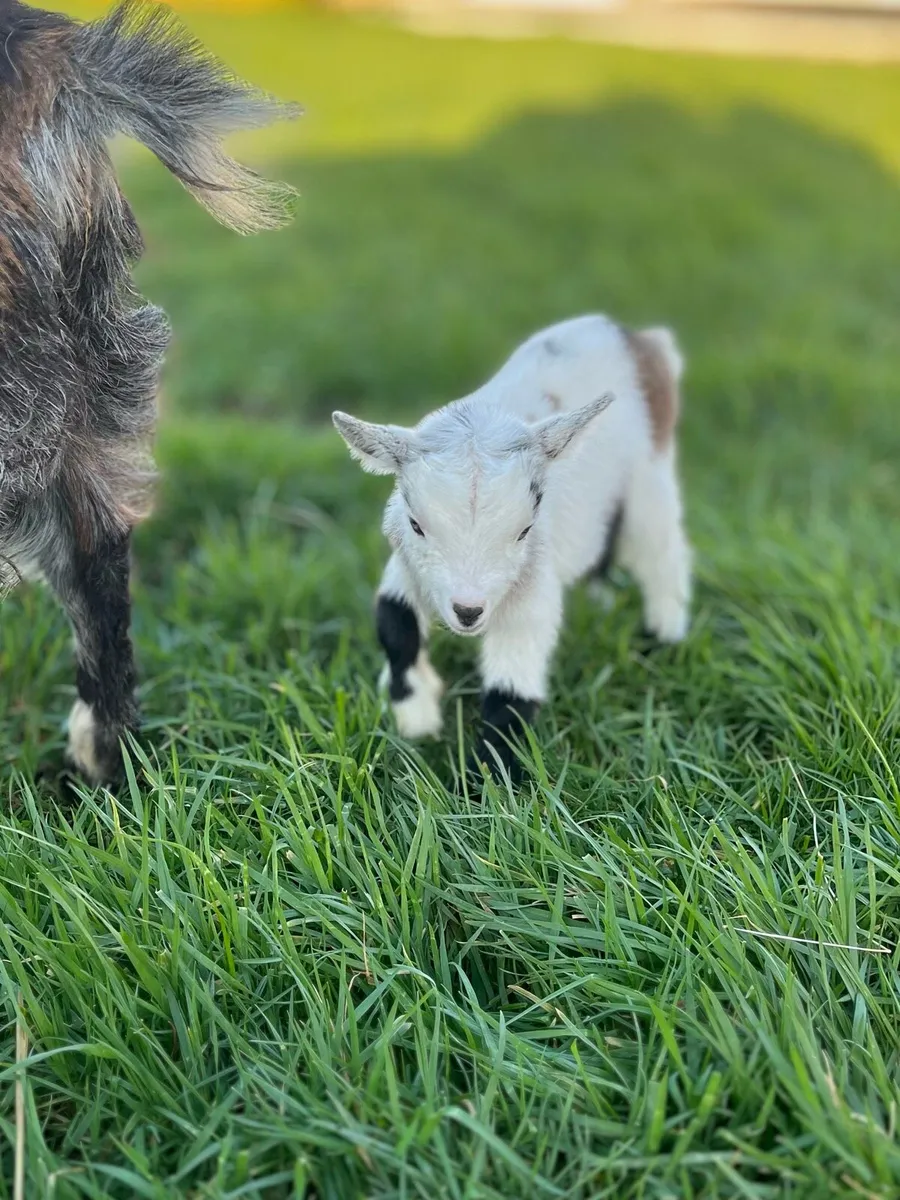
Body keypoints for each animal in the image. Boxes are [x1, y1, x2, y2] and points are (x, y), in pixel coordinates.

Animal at [334, 314, 692, 780]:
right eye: (416, 524)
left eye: (524, 529)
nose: (468, 611)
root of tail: (639, 339)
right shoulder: (409, 565)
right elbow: (394, 621)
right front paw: (417, 718)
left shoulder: (533, 584)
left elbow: (511, 691)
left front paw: (485, 785)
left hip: (649, 472)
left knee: (659, 550)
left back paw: (662, 640)